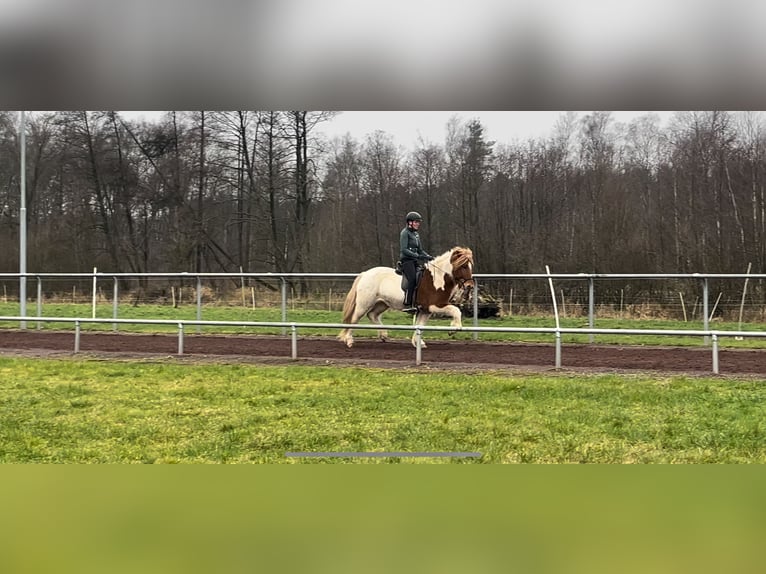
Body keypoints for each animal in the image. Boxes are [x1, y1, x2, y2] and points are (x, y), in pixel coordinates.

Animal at [340, 246, 476, 348]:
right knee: (354, 319)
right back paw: (349, 340)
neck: (438, 279)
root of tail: (365, 274)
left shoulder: (425, 310)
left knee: (372, 315)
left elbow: (420, 326)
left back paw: (383, 335)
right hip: (364, 304)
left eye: (470, 266)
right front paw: (453, 329)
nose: (470, 286)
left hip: (382, 303)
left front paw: (418, 343)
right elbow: (456, 310)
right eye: (464, 266)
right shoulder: (434, 306)